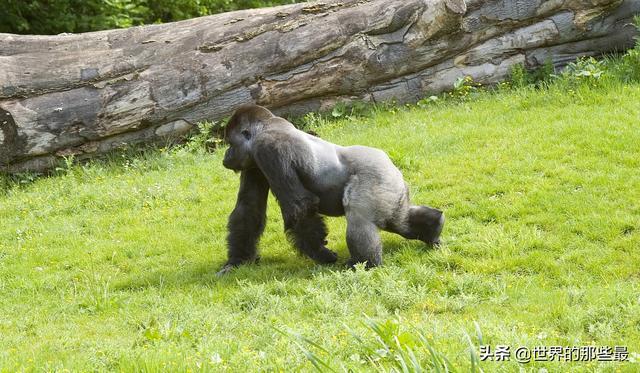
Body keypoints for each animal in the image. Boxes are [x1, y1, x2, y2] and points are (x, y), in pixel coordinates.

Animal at [218, 104, 442, 274]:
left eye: (230, 143)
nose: (226, 156)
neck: (265, 127)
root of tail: (392, 166)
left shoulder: (267, 148)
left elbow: (300, 206)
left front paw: (321, 254)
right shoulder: (254, 164)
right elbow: (249, 209)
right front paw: (238, 260)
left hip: (377, 179)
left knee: (360, 217)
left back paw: (365, 263)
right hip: (393, 188)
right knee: (400, 221)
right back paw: (433, 227)